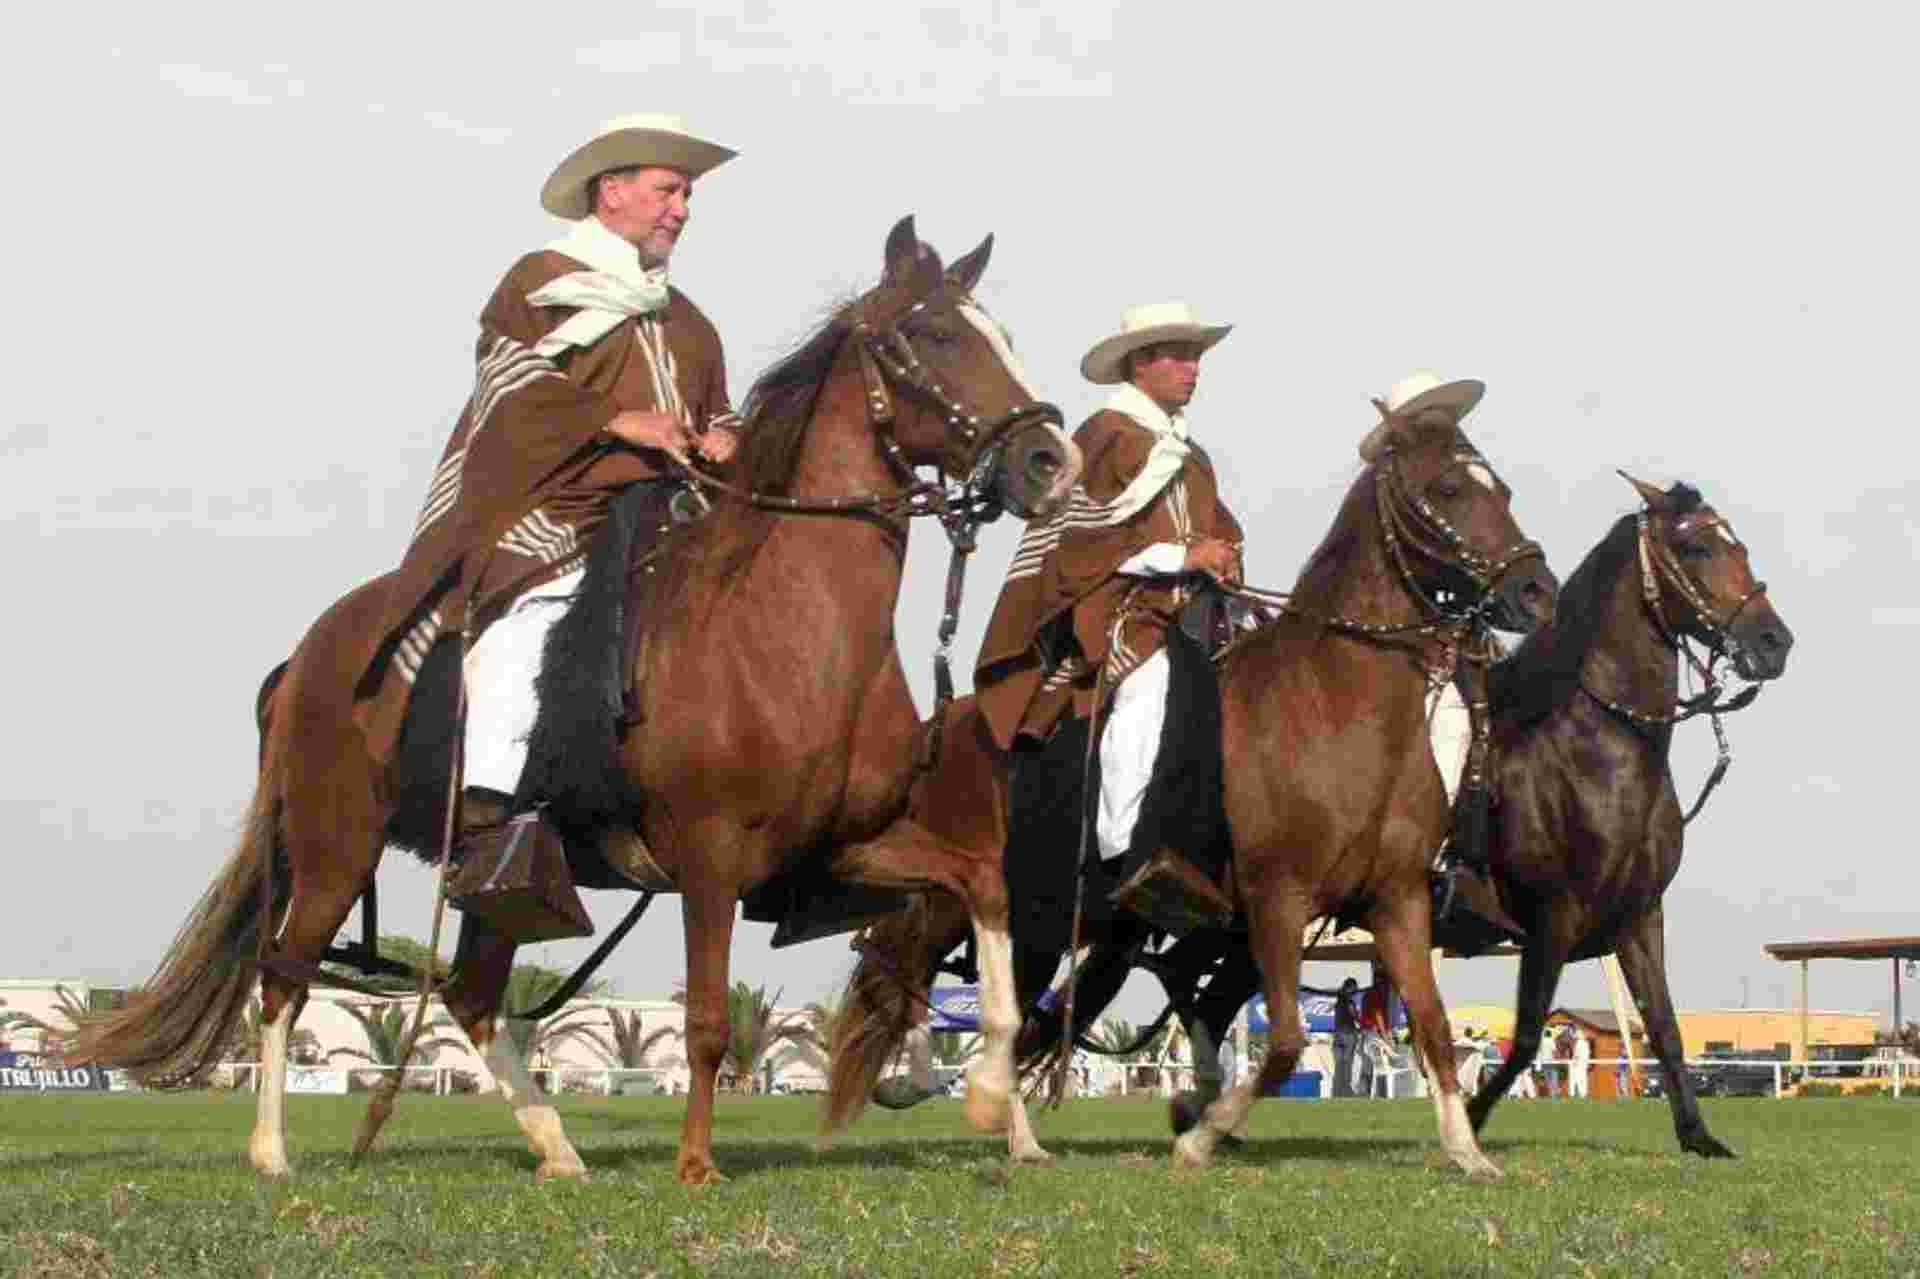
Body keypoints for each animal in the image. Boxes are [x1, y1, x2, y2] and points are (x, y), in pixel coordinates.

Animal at [73, 217, 1084, 1186]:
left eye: (999, 335)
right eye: (937, 334)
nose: (1050, 459)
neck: (785, 627)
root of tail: (310, 655)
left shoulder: (841, 849)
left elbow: (981, 890)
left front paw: (990, 1096)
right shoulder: (712, 861)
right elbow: (709, 1021)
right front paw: (695, 1164)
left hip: (496, 882)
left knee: (471, 995)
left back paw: (557, 1147)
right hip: (335, 849)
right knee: (284, 979)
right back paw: (272, 1152)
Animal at [827, 409, 1559, 1177]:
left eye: (1501, 488)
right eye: (1448, 487)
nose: (1536, 590)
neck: (1335, 707)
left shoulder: (1397, 900)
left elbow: (1435, 1026)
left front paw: (1467, 1150)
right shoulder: (1276, 900)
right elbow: (1287, 1040)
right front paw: (1200, 1135)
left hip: (1054, 920)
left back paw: (1014, 1130)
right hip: (978, 903)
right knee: (921, 978)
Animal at [1465, 475, 1793, 1154]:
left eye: (1739, 544)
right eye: (1695, 548)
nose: (1774, 642)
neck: (1598, 749)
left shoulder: (1640, 917)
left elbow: (1665, 1026)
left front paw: (1698, 1136)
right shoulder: (1552, 917)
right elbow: (1528, 1036)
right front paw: (1472, 1119)